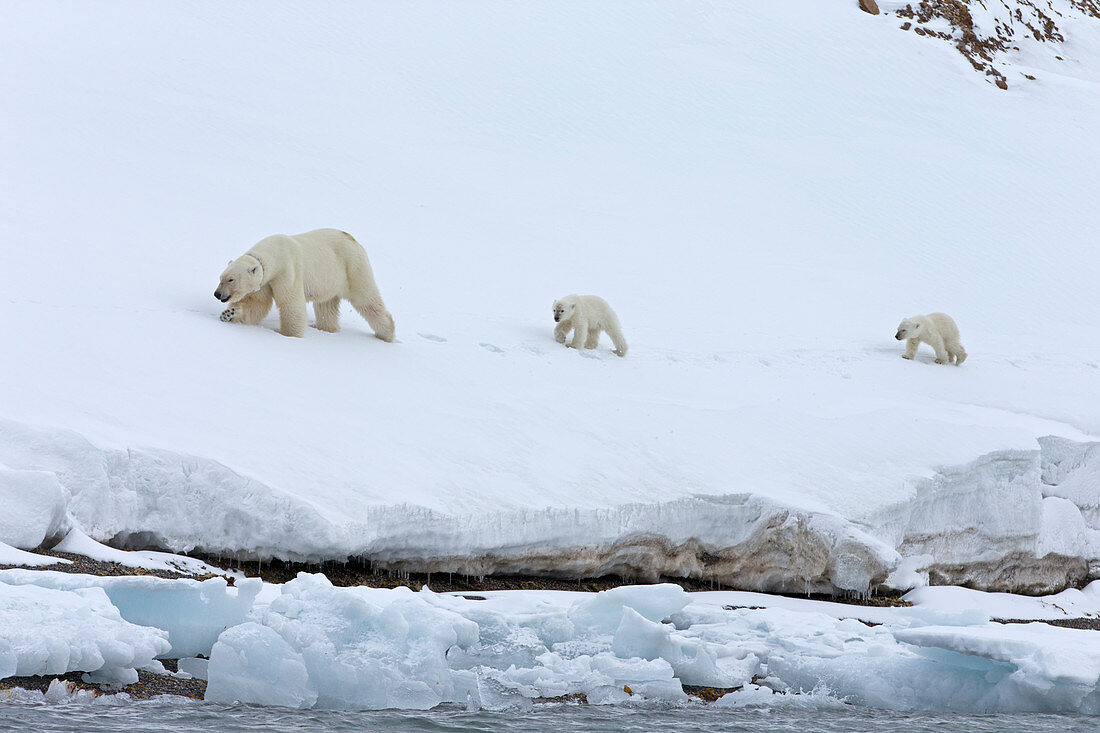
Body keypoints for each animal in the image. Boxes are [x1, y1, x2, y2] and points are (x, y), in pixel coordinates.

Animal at [212, 226, 393, 338]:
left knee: (367, 300)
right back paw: (327, 329)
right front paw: (229, 314)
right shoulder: (264, 282)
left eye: (231, 279)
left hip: (353, 267)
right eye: (220, 278)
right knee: (326, 307)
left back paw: (387, 333)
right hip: (330, 278)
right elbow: (256, 304)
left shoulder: (287, 270)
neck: (275, 253)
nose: (217, 294)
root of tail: (355, 240)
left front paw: (289, 335)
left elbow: (290, 303)